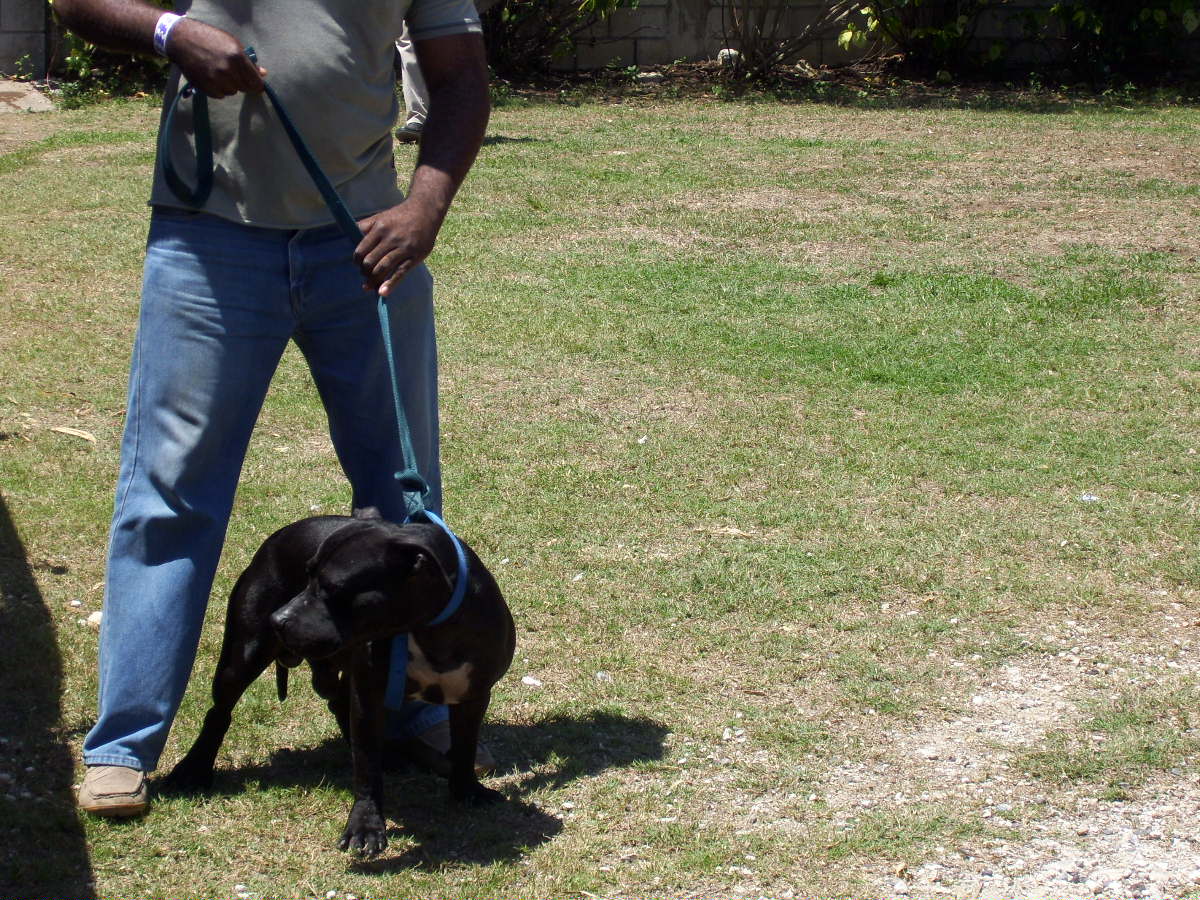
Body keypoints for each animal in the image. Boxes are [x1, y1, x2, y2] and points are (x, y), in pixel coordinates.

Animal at [164, 507, 516, 856]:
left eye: (332, 588)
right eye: (307, 575)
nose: (278, 619)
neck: (427, 628)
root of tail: (278, 536)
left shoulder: (474, 695)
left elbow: (464, 745)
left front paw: (468, 791)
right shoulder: (369, 692)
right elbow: (366, 767)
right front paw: (366, 826)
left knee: (339, 704)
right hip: (243, 654)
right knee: (219, 712)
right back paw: (193, 769)